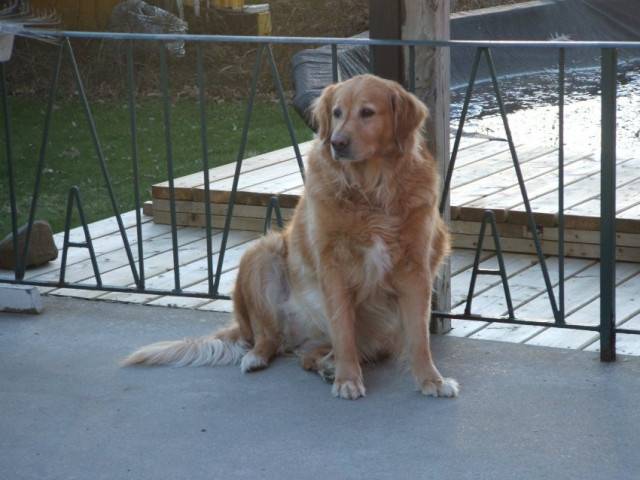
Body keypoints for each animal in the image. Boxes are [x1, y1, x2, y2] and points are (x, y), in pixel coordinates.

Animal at [122, 74, 459, 400]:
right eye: (337, 113)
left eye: (367, 112)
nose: (337, 142)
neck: (371, 190)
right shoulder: (333, 266)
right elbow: (344, 332)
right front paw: (348, 380)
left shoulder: (414, 269)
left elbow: (419, 337)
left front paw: (431, 380)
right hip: (262, 253)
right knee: (269, 338)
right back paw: (262, 358)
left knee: (309, 357)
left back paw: (326, 365)